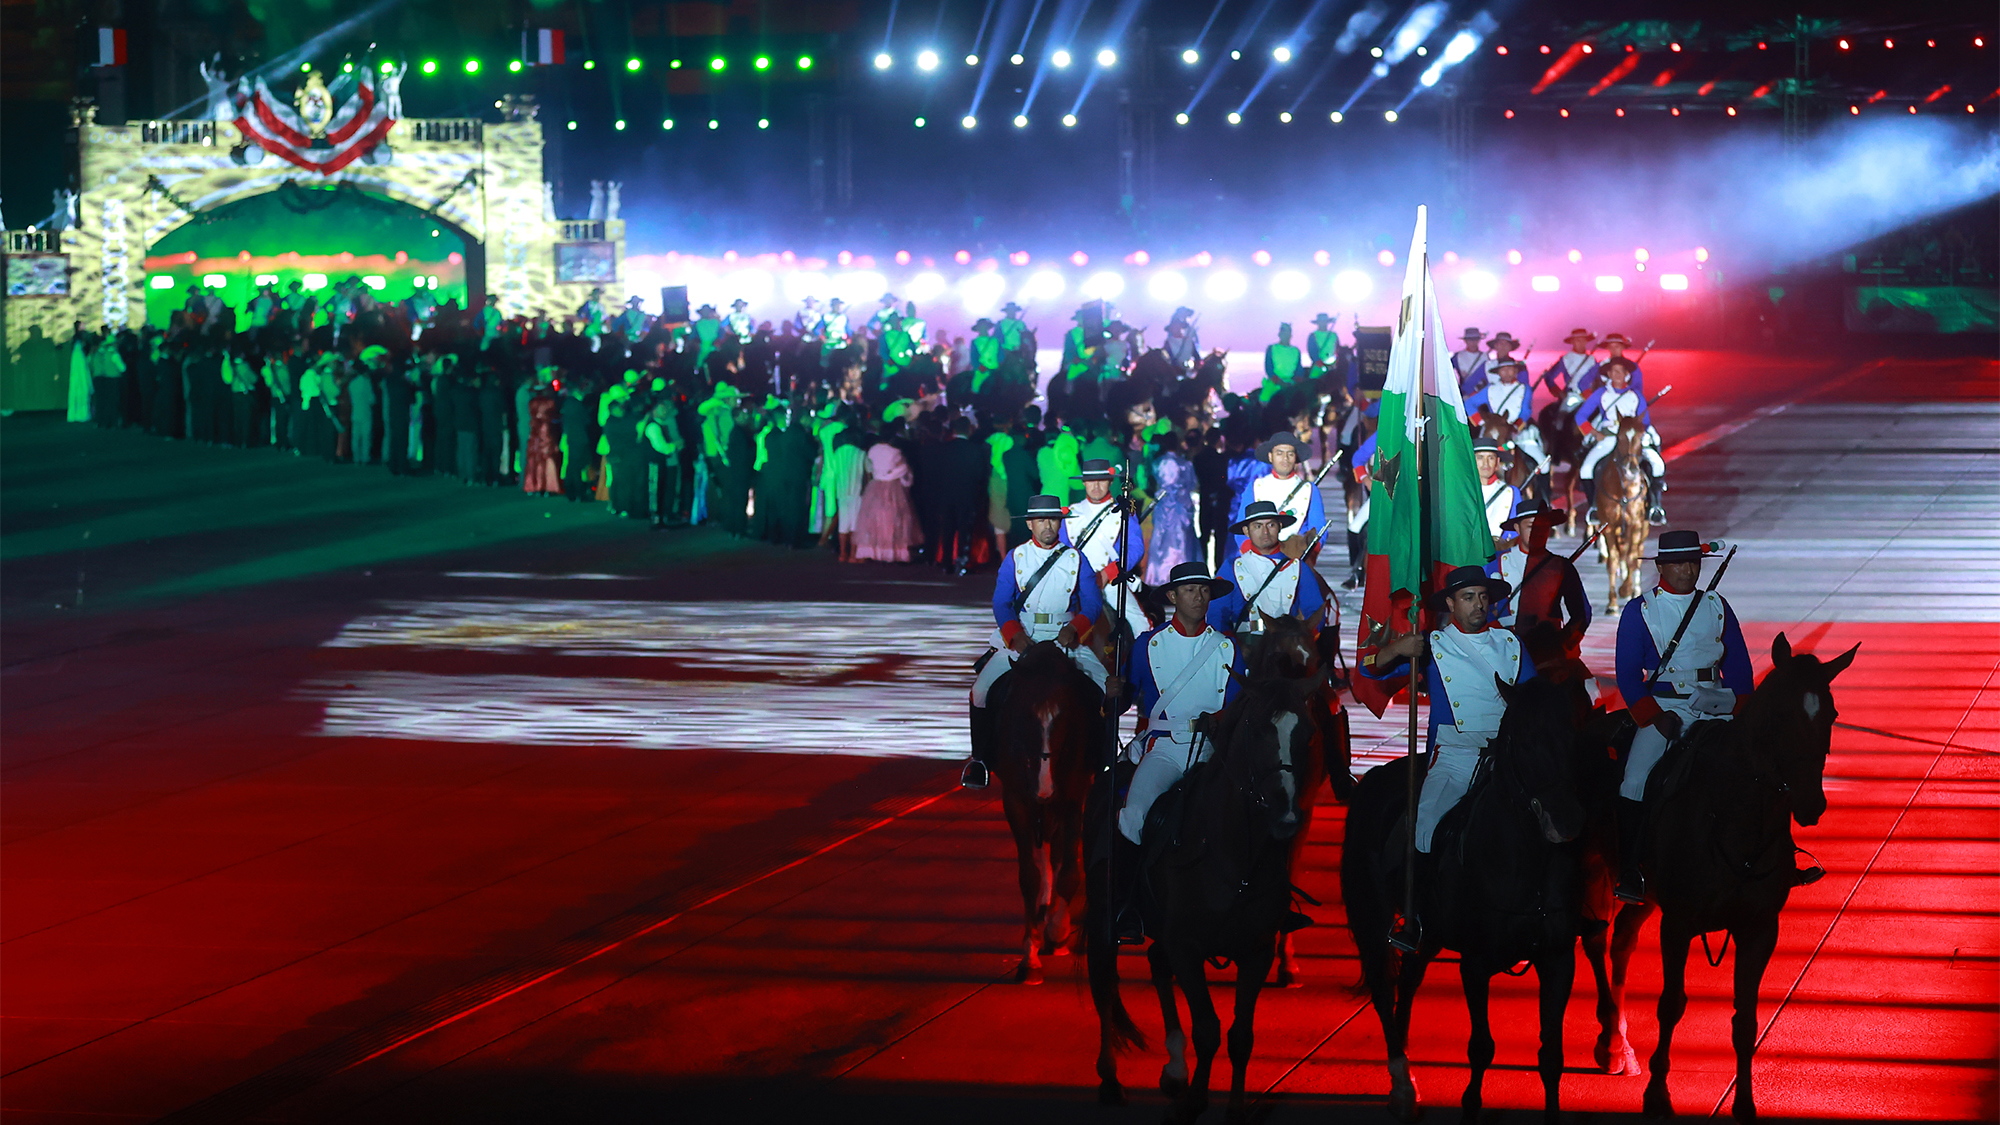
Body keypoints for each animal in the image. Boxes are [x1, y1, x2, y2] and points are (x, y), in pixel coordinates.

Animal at [988, 640, 1112, 980]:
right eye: (1024, 714)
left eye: (1065, 717)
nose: (1044, 788)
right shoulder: (1016, 799)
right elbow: (1028, 875)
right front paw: (1029, 957)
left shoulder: (1072, 798)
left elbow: (1069, 871)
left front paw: (1057, 931)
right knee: (1043, 850)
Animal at [1344, 668, 1592, 1112]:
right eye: (1521, 741)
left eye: (1576, 734)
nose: (1566, 820)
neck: (1527, 861)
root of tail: (1369, 781)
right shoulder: (1475, 964)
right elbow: (1481, 1049)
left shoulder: (1558, 960)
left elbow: (1551, 1057)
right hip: (1370, 923)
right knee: (1383, 989)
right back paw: (1399, 1078)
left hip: (1426, 934)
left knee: (1407, 981)